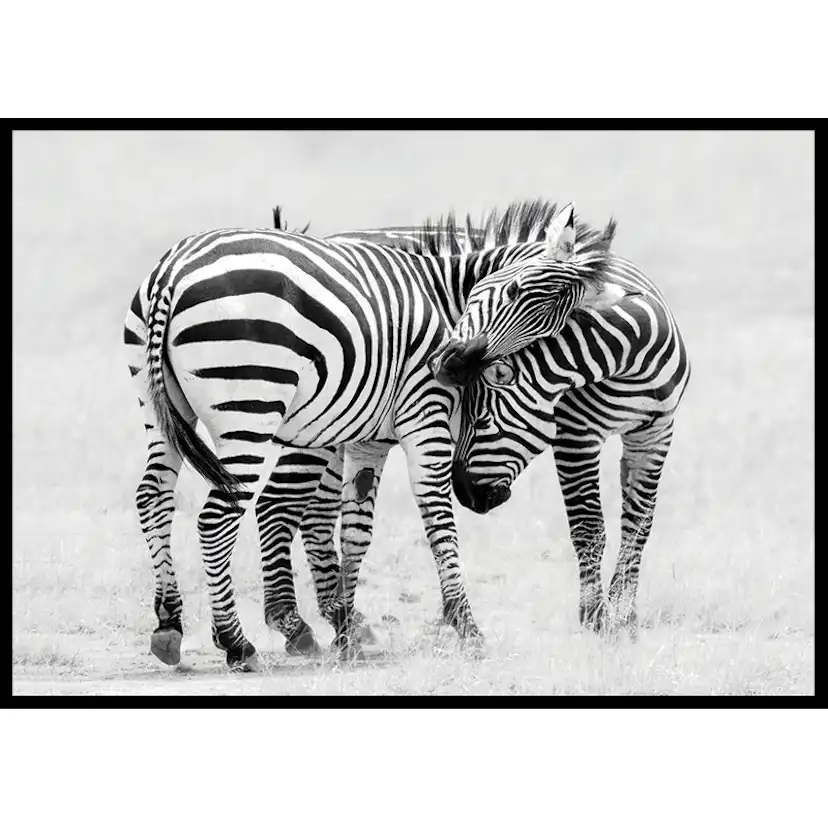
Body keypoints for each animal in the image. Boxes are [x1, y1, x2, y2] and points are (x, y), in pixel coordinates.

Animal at [123, 199, 597, 670]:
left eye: (548, 327)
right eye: (515, 291)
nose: (451, 366)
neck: (445, 296)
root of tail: (174, 271)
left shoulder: (372, 437)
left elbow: (355, 527)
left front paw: (348, 628)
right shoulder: (424, 416)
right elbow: (437, 517)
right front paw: (466, 626)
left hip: (161, 409)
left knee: (153, 498)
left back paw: (169, 624)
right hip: (251, 407)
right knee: (219, 517)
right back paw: (237, 642)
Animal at [431, 211, 691, 634]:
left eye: (483, 421)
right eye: (511, 290)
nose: (466, 495)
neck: (631, 365)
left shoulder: (656, 433)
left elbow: (639, 523)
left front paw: (623, 613)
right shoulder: (575, 436)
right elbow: (588, 528)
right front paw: (595, 616)